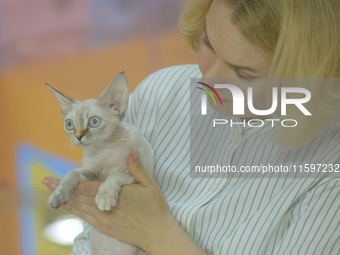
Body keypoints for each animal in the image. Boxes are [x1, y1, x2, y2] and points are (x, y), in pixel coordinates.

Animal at [45, 72, 152, 254]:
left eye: (94, 122)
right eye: (69, 124)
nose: (78, 136)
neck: (107, 147)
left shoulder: (135, 174)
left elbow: (115, 175)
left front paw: (105, 196)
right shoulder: (90, 173)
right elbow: (71, 173)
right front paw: (58, 194)